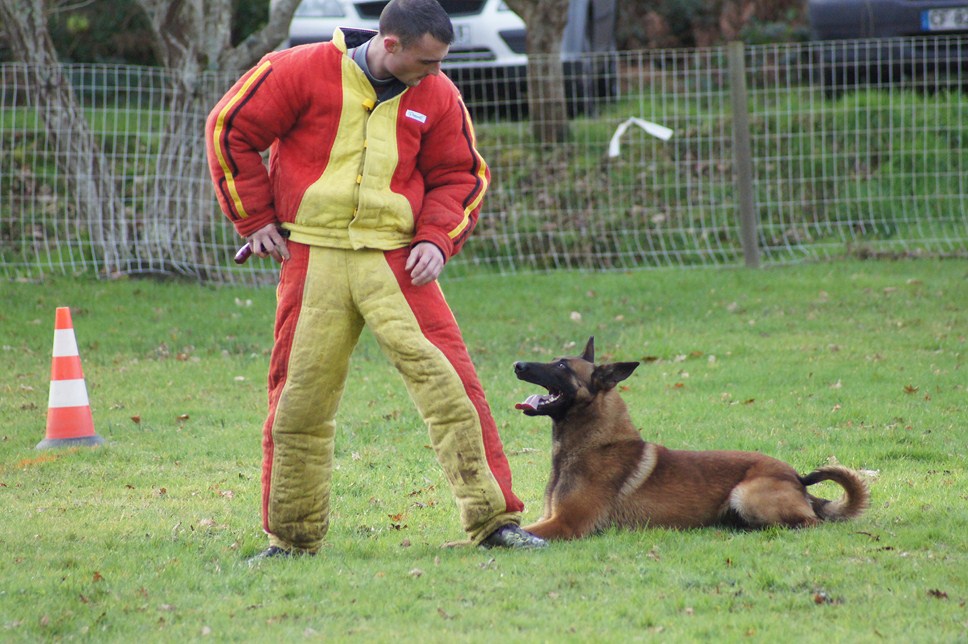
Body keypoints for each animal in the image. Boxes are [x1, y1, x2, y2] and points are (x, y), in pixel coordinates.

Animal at [516, 340, 868, 540]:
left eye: (562, 366)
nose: (518, 364)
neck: (594, 443)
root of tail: (796, 477)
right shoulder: (549, 517)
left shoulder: (566, 523)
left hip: (746, 494)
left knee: (811, 524)